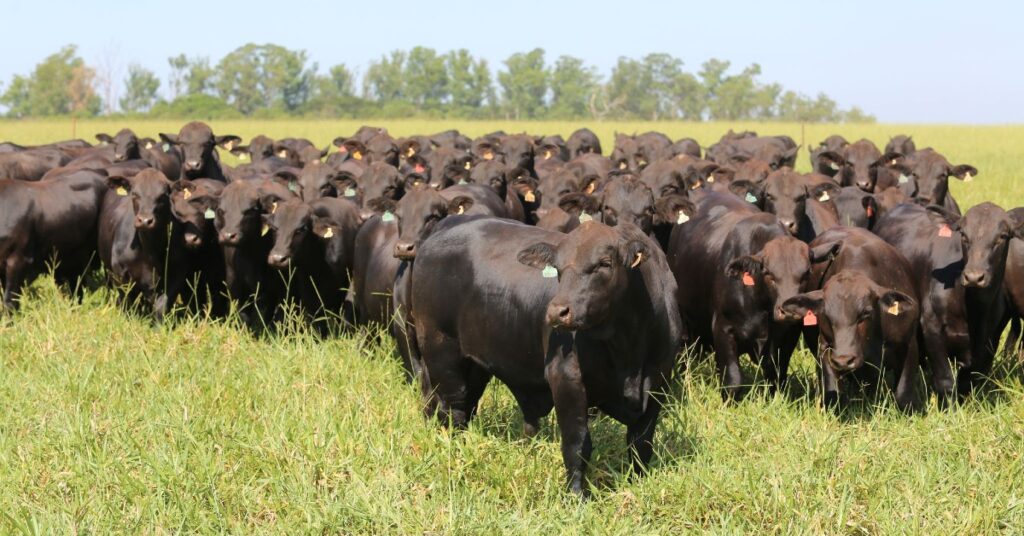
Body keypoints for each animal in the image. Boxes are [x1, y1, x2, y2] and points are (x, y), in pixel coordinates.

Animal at [411, 220, 684, 498]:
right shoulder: (566, 378)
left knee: (463, 404)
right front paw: (577, 495)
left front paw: (638, 481)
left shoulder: (659, 383)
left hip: (475, 364)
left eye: (605, 263)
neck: (627, 347)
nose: (557, 311)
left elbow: (641, 443)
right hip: (441, 350)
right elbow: (577, 443)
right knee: (452, 408)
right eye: (558, 269)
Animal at [778, 227, 925, 411]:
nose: (844, 360)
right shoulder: (825, 349)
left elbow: (903, 395)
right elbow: (833, 393)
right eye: (826, 314)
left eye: (866, 312)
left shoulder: (909, 344)